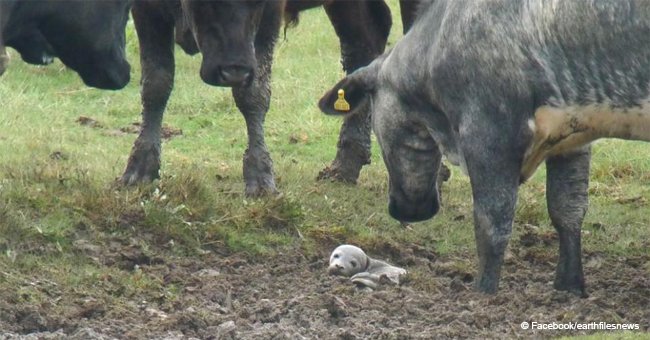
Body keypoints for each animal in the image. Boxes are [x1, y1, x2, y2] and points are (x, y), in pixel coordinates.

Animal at [318, 0, 648, 294]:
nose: (408, 210)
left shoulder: (488, 132)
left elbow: (492, 223)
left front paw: (483, 293)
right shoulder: (571, 130)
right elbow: (567, 209)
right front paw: (568, 288)